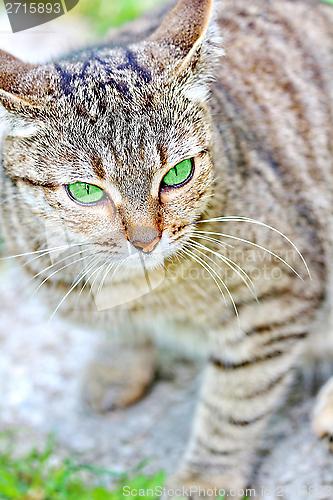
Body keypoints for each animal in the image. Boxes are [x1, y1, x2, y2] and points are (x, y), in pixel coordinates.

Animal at [0, 0, 332, 494]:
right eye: (85, 190)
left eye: (177, 174)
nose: (145, 239)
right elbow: (119, 329)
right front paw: (118, 364)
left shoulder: (274, 303)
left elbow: (234, 403)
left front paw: (204, 479)